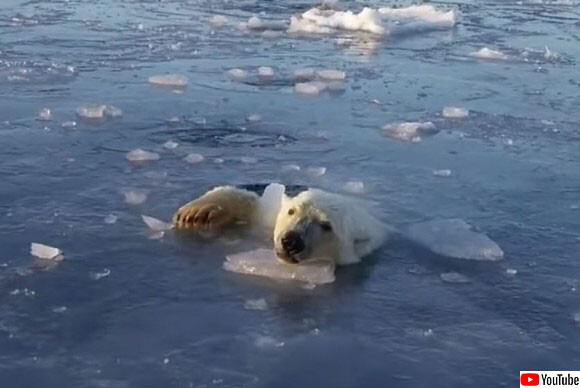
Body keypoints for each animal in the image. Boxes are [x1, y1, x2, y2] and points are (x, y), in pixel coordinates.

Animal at [173, 184, 390, 264]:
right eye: (291, 211)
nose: (291, 241)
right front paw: (196, 213)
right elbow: (253, 203)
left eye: (326, 226)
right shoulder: (267, 219)